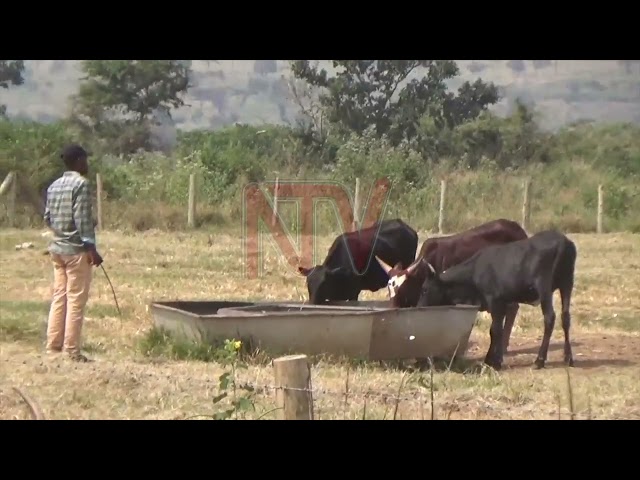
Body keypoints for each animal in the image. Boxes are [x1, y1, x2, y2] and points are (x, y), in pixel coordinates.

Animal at [416, 229, 576, 372]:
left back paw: (539, 360)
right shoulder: (502, 303)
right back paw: (568, 357)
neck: (475, 271)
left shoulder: (494, 301)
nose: (418, 306)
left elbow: (495, 330)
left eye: (424, 289)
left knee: (549, 317)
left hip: (544, 287)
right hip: (567, 284)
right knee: (565, 317)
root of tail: (562, 241)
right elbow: (498, 330)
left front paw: (493, 361)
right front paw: (494, 358)